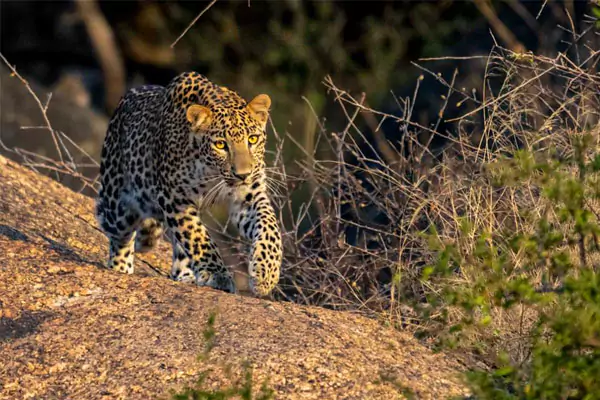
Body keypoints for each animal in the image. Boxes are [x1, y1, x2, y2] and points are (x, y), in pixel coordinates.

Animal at [96, 72, 284, 296]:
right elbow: (197, 237)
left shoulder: (250, 195)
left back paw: (185, 276)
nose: (243, 175)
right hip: (118, 208)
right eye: (220, 145)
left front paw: (266, 274)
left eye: (253, 139)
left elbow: (269, 226)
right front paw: (217, 275)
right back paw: (121, 269)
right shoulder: (175, 198)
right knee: (119, 237)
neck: (211, 173)